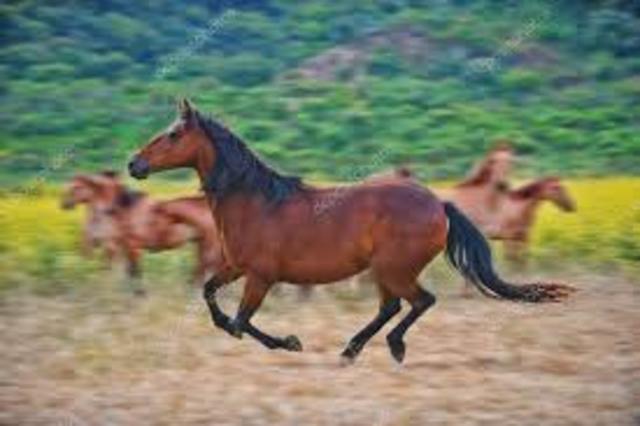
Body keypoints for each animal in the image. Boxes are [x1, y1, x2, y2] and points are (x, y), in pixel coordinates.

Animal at [128, 99, 573, 363]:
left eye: (173, 134)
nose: (134, 164)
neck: (257, 203)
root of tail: (439, 205)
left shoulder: (261, 276)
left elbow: (240, 321)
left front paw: (289, 342)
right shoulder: (236, 267)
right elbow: (212, 300)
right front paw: (282, 340)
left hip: (394, 269)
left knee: (419, 302)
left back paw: (390, 347)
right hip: (384, 271)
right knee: (392, 307)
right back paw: (352, 348)